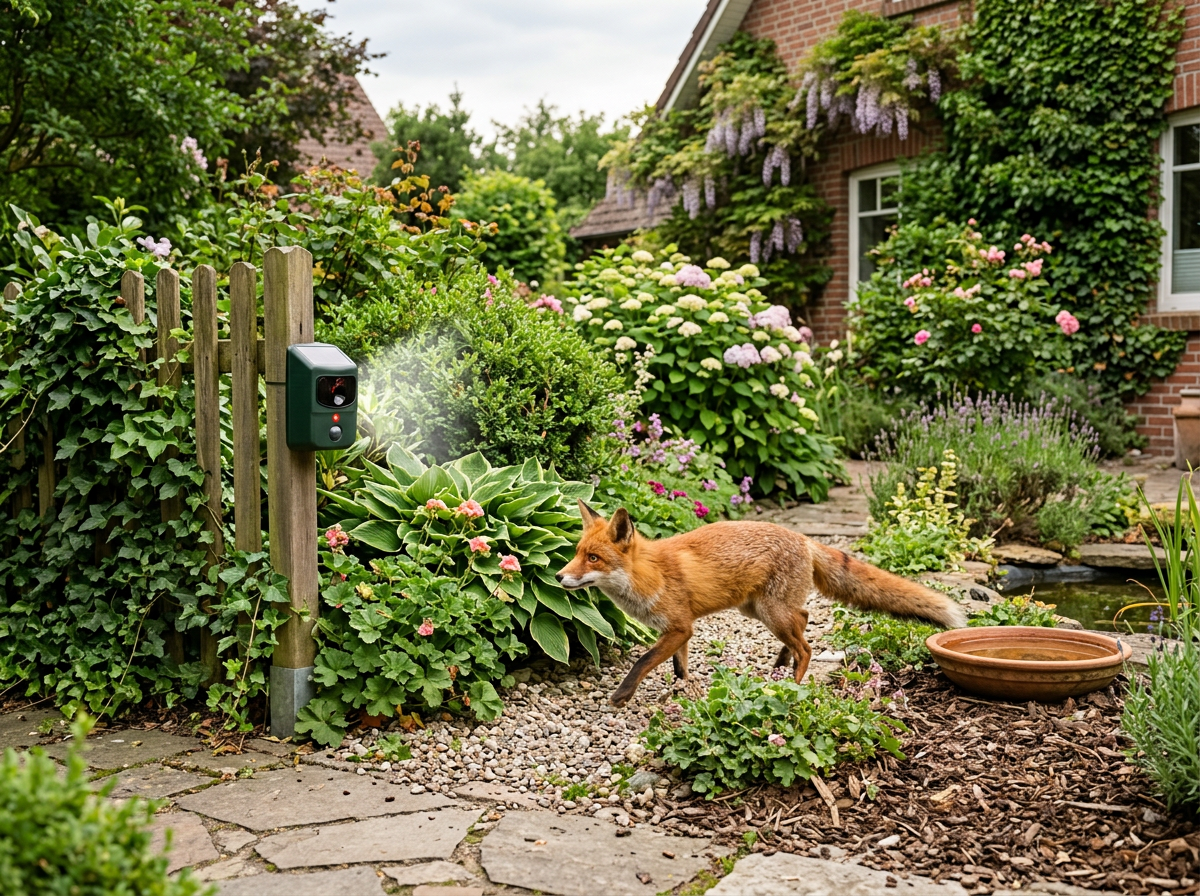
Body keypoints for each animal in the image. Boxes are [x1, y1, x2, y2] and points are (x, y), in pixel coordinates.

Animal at [556, 501, 968, 708]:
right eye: (577, 553)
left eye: (593, 558)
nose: (559, 577)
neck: (648, 574)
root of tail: (803, 538)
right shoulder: (679, 631)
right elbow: (678, 668)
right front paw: (683, 692)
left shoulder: (679, 627)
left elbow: (642, 661)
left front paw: (622, 696)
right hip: (758, 609)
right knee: (804, 617)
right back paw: (780, 663)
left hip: (770, 613)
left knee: (806, 646)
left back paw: (792, 685)